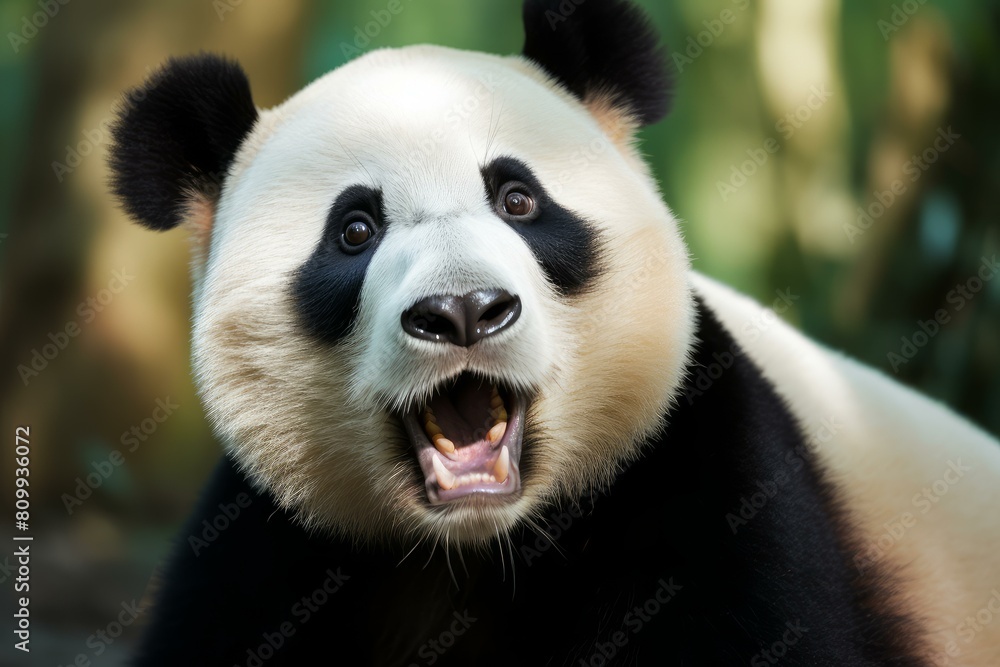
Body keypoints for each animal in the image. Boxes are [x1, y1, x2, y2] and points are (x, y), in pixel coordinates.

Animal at [108, 1, 1000, 665]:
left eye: (518, 199)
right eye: (355, 230)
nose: (463, 310)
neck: (478, 550)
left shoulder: (703, 472)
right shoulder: (273, 550)